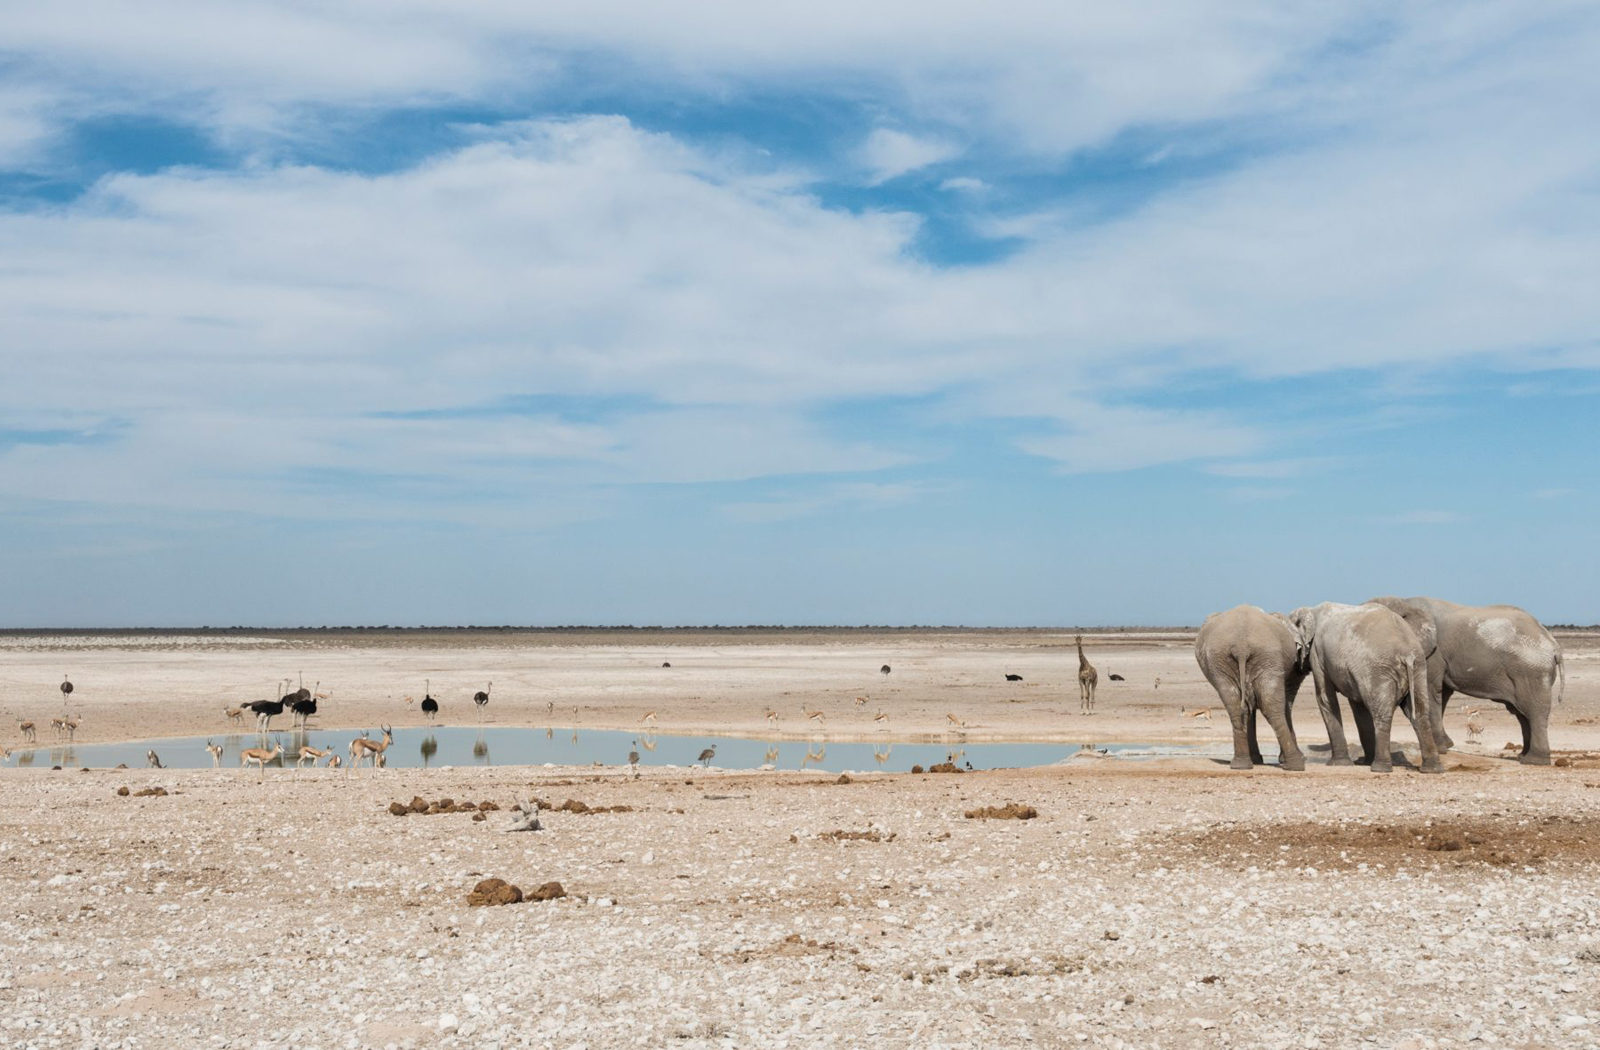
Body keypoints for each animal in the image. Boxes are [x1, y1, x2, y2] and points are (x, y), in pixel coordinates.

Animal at [1196, 601, 1305, 768]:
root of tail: (1241, 645)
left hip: (1222, 660)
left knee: (1235, 705)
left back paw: (1241, 764)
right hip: (1266, 656)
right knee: (1271, 705)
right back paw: (1295, 764)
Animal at [1286, 598, 1452, 771]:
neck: (1311, 610)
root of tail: (1406, 653)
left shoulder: (1318, 654)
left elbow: (1325, 698)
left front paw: (1339, 764)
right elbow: (1358, 707)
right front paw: (1362, 762)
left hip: (1379, 670)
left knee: (1382, 713)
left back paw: (1380, 767)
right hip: (1418, 667)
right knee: (1420, 713)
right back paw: (1432, 769)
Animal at [1363, 598, 1561, 761]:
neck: (1404, 601)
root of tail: (1553, 644)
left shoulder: (1432, 654)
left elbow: (1431, 690)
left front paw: (1440, 748)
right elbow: (1441, 695)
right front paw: (1445, 746)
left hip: (1532, 673)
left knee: (1534, 711)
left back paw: (1533, 760)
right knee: (1522, 714)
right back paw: (1522, 756)